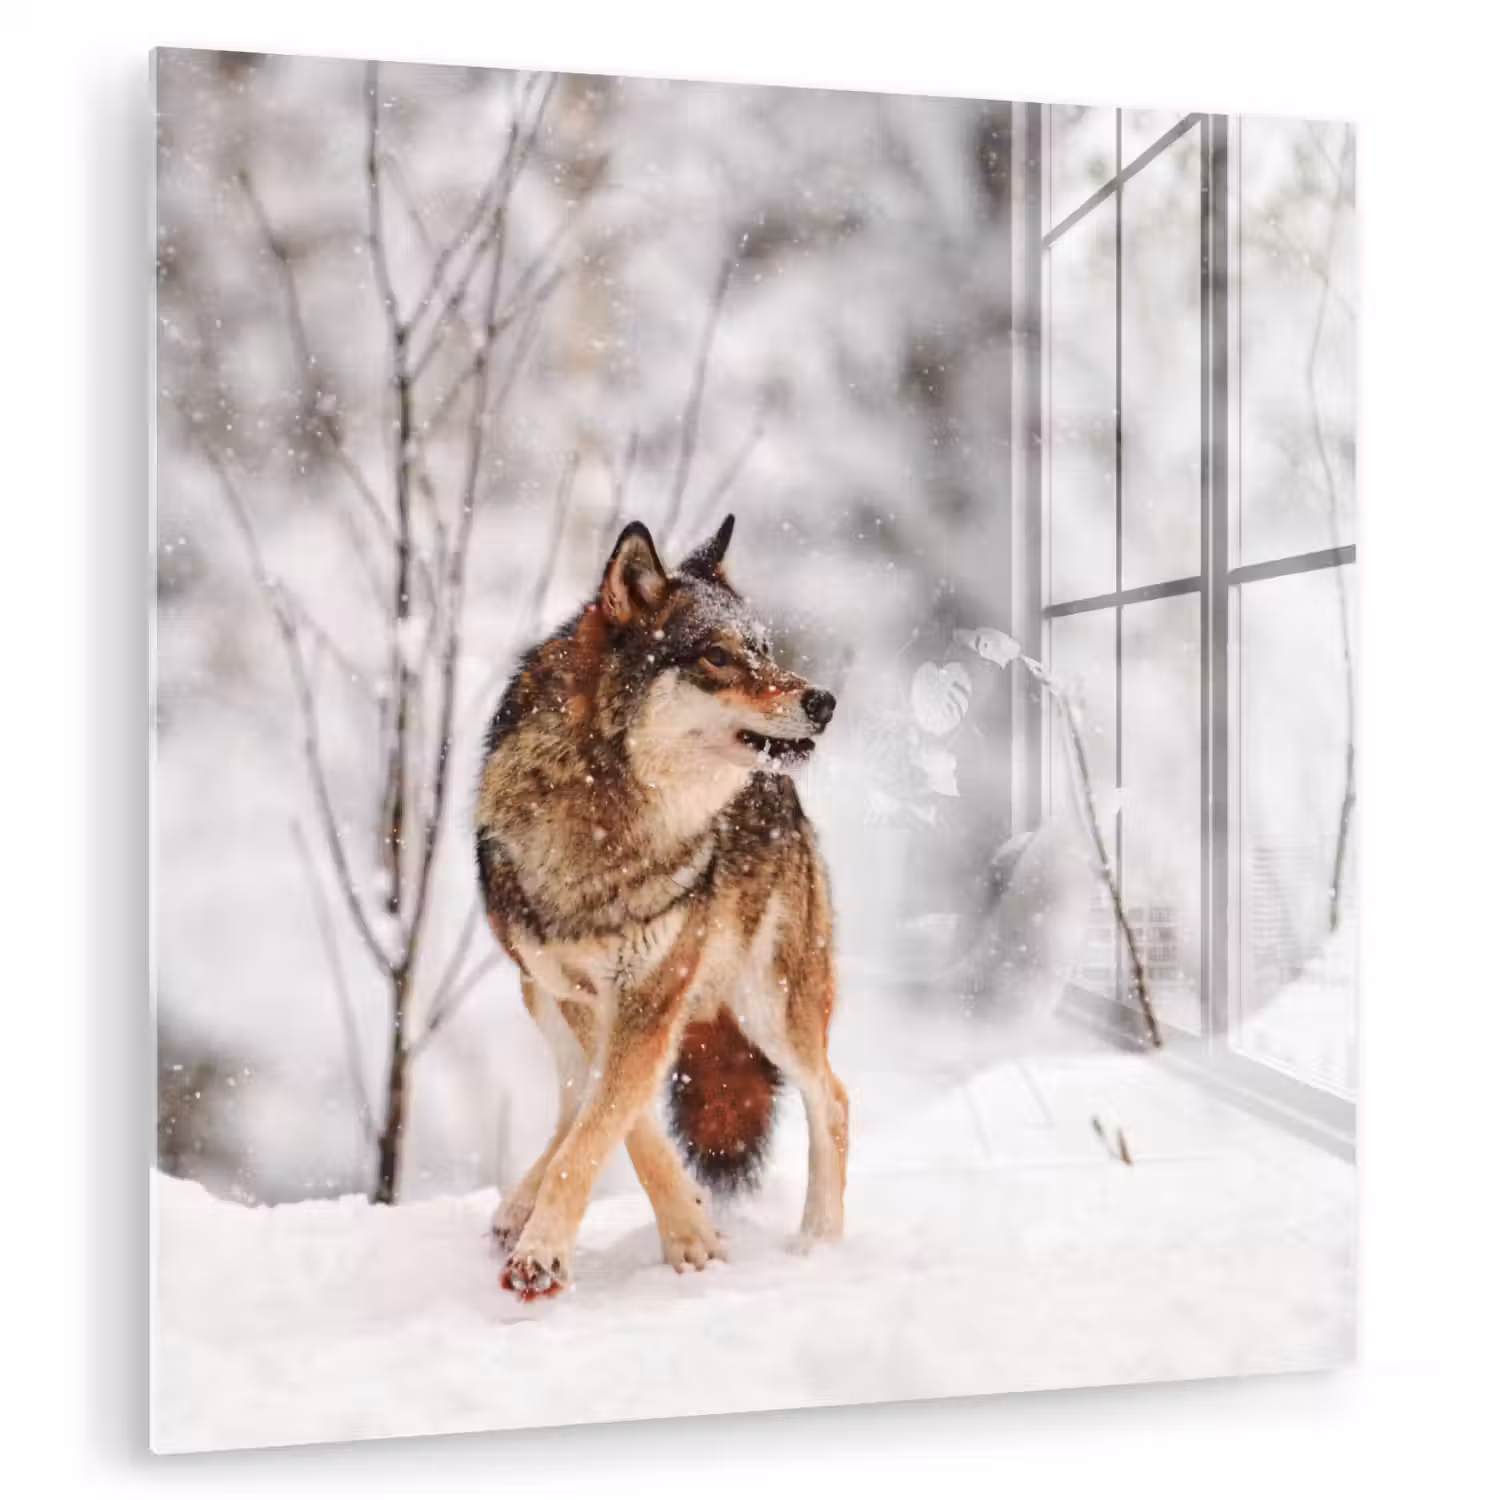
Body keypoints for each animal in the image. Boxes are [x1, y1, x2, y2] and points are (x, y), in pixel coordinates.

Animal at [475, 514, 847, 1299]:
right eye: (718, 656)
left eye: (765, 648)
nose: (824, 702)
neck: (609, 818)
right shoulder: (584, 995)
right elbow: (619, 1121)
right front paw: (688, 1232)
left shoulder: (651, 992)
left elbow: (605, 1124)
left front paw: (546, 1254)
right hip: (539, 996)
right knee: (571, 1096)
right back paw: (517, 1208)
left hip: (772, 1004)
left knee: (832, 1098)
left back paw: (819, 1244)